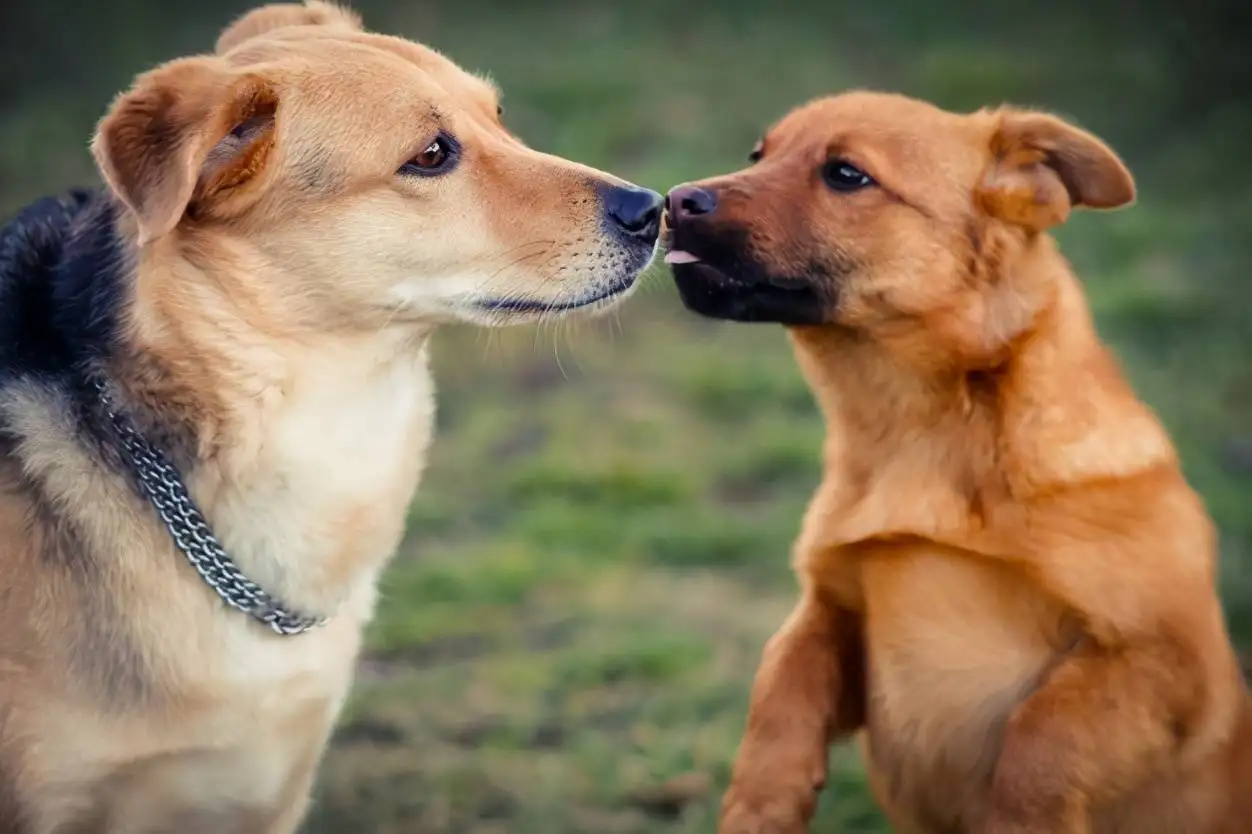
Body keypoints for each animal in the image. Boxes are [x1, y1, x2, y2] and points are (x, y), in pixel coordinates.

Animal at [666, 90, 1252, 831]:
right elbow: (779, 686)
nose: (673, 200)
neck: (923, 437)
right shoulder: (834, 610)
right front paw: (761, 802)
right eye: (758, 155)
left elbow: (1040, 735)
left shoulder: (1170, 661)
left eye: (846, 175)